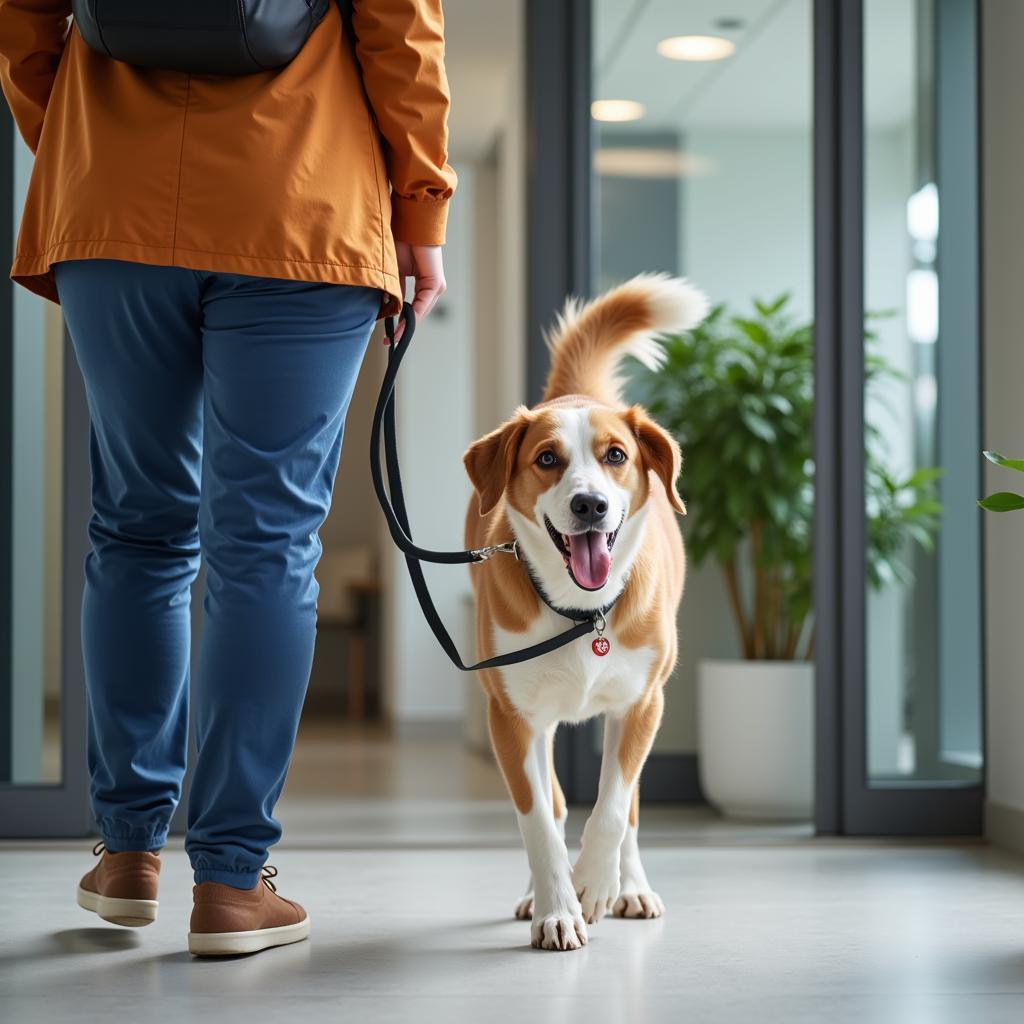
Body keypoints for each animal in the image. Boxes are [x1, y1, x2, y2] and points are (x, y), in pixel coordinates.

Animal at [462, 274, 708, 950]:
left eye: (616, 455)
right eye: (547, 459)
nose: (591, 505)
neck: (582, 612)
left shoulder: (642, 705)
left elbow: (613, 809)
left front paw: (597, 885)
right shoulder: (510, 718)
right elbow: (540, 821)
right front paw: (557, 907)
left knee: (628, 811)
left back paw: (631, 886)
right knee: (550, 800)